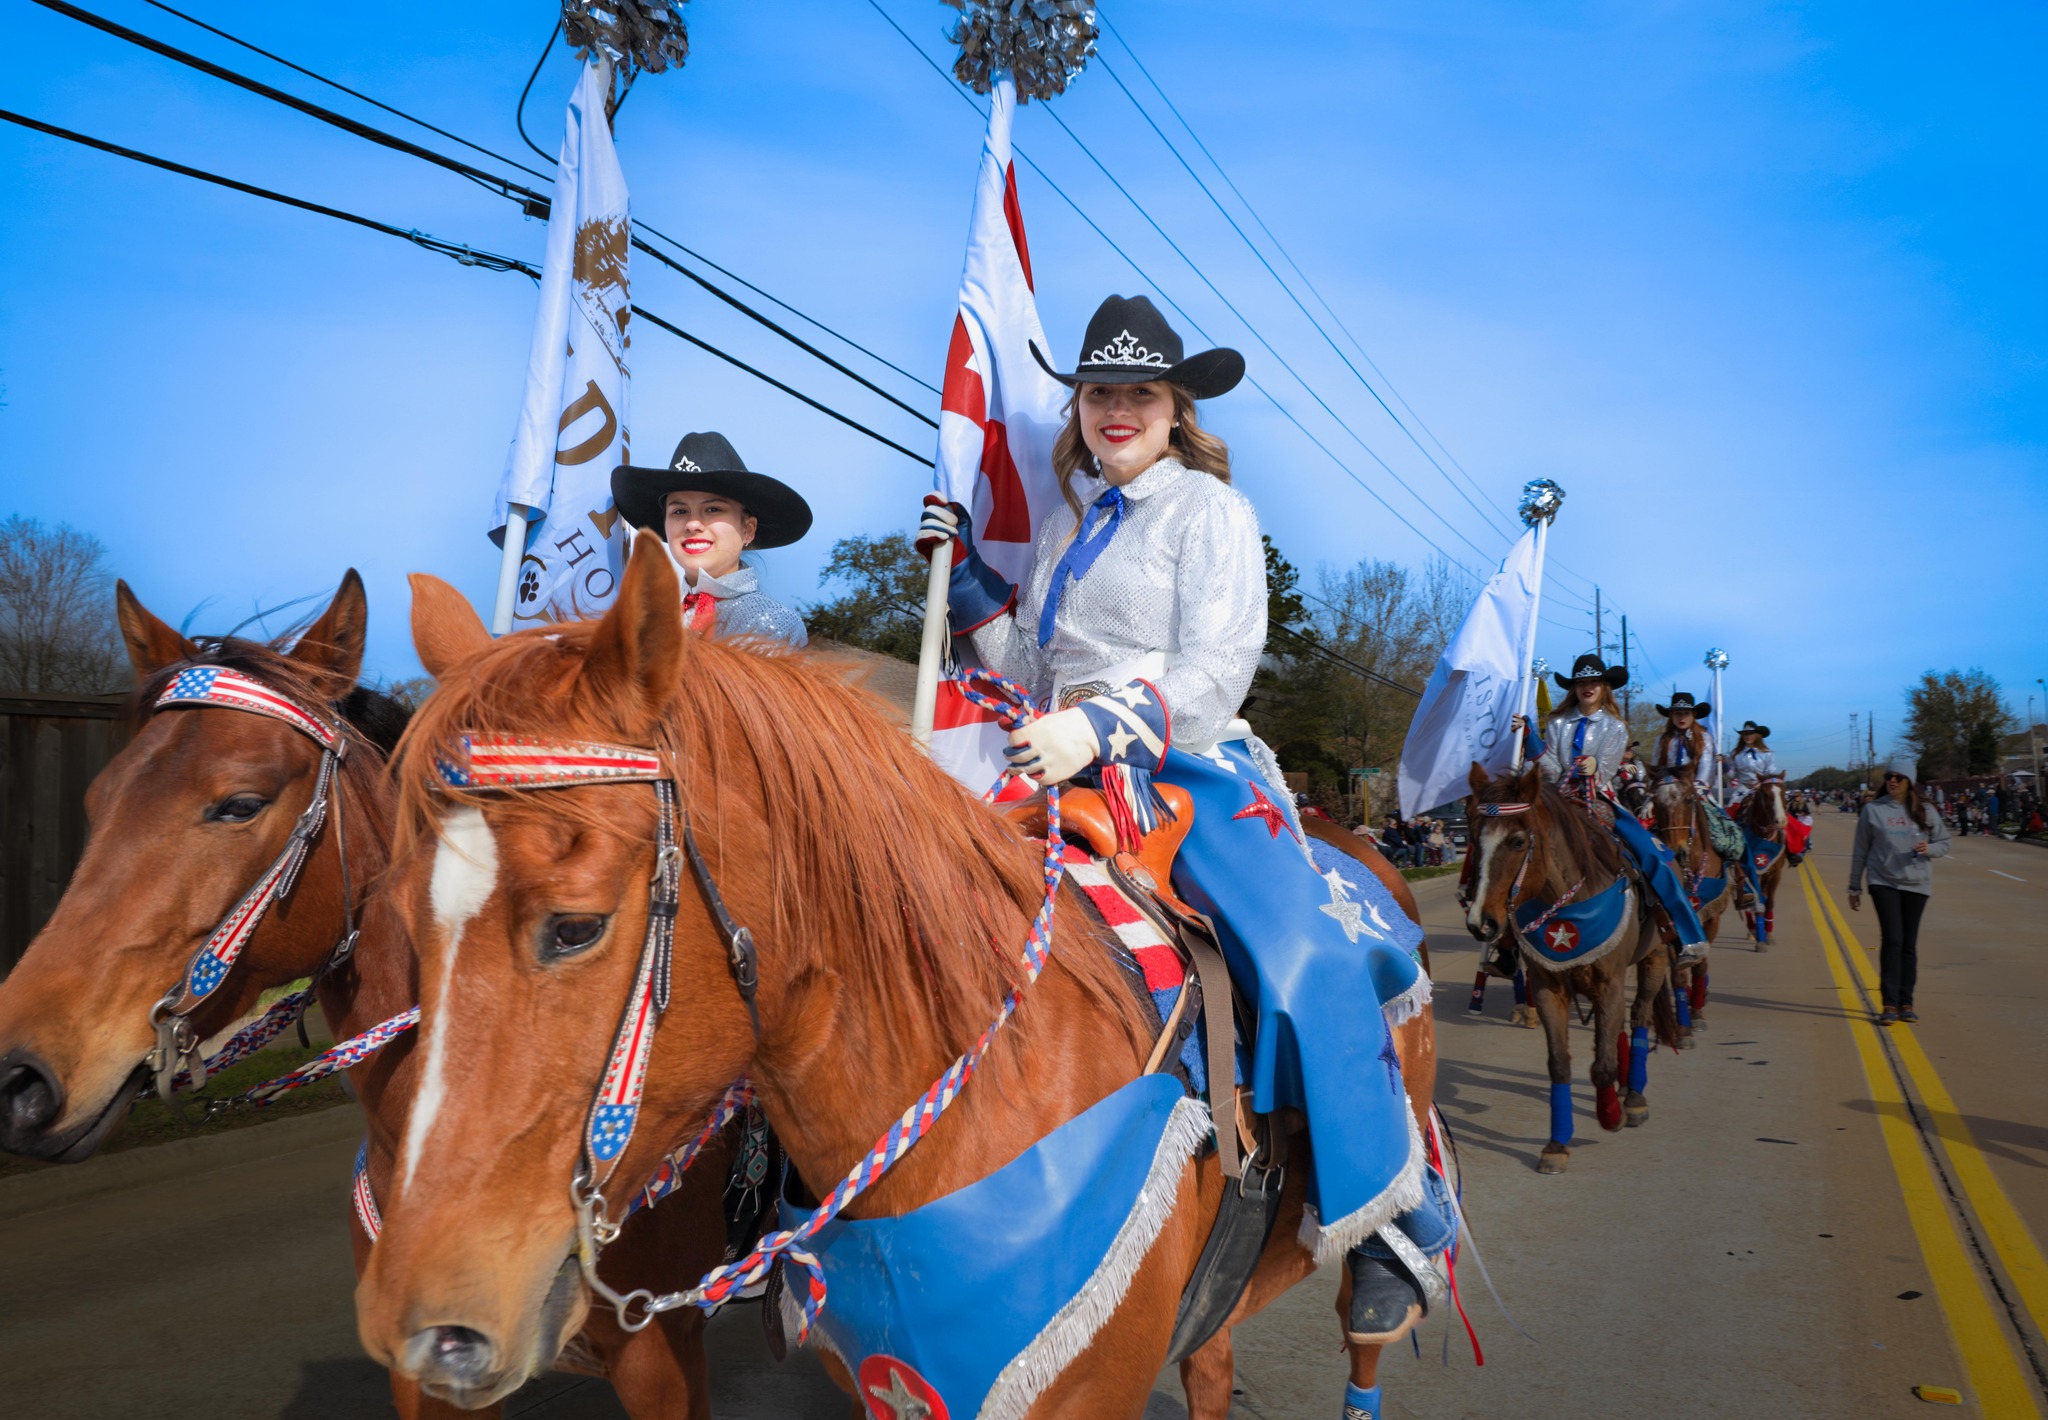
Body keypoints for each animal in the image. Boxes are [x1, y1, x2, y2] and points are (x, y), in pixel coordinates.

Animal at [1474, 766, 1679, 1172]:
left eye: (1517, 841)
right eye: (1476, 839)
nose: (1481, 923)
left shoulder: (1612, 982)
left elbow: (1600, 1066)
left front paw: (1612, 1114)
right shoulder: (1547, 988)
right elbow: (1559, 1063)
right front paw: (1556, 1144)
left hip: (1655, 959)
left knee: (1640, 1015)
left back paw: (1633, 1097)